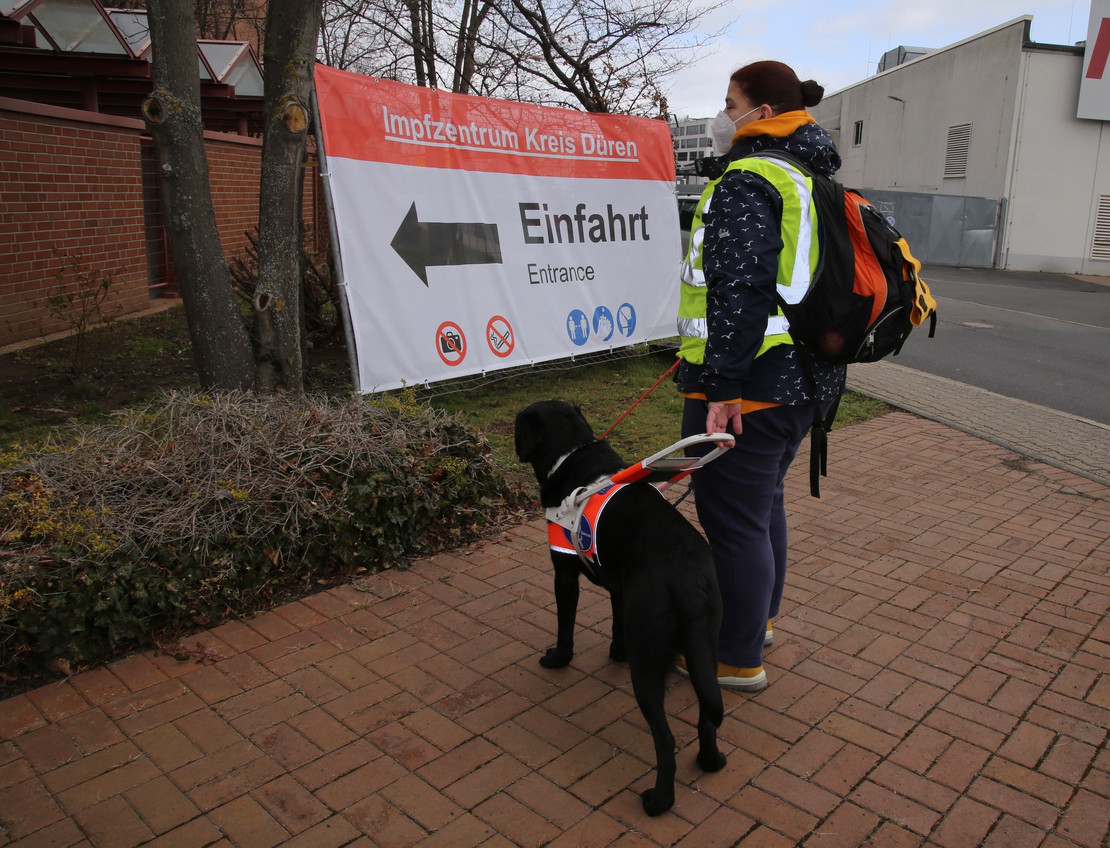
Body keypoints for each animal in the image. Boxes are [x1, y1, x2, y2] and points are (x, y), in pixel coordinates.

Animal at [512, 401, 728, 816]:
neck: (573, 454)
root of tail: (687, 575)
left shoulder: (564, 573)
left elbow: (565, 626)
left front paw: (558, 658)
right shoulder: (616, 583)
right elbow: (615, 622)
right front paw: (615, 652)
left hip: (648, 664)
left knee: (666, 740)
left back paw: (659, 801)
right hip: (704, 647)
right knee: (707, 717)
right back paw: (710, 762)